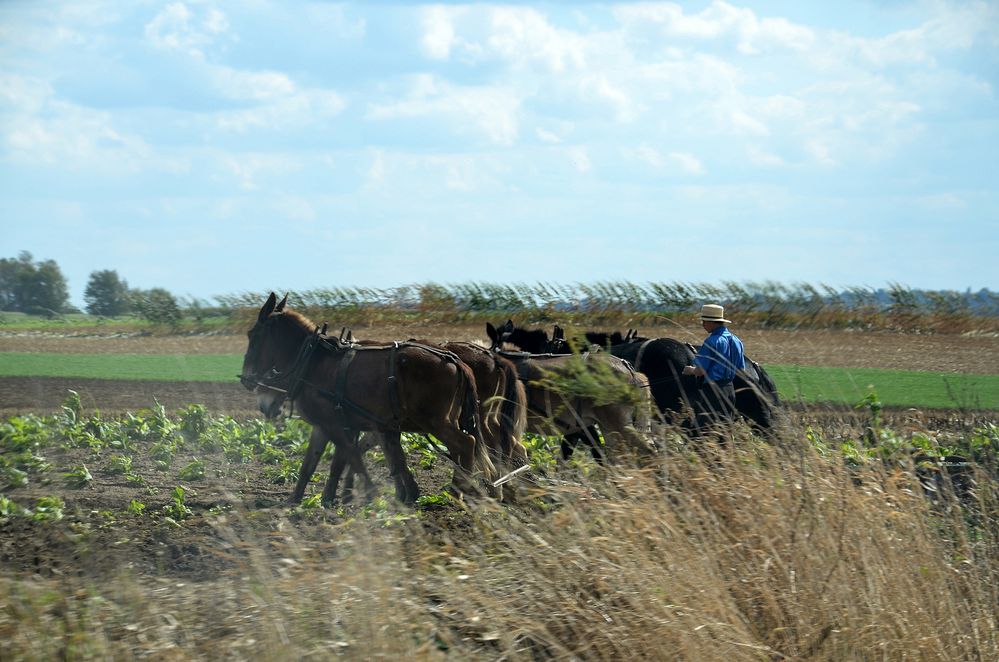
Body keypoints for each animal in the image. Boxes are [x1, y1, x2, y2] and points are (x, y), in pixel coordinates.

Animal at [238, 294, 496, 506]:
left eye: (253, 335)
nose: (246, 379)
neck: (312, 362)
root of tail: (455, 360)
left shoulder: (336, 425)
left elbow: (350, 456)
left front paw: (370, 492)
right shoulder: (327, 425)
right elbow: (312, 463)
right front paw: (297, 499)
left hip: (434, 421)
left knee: (466, 444)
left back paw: (457, 491)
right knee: (461, 448)